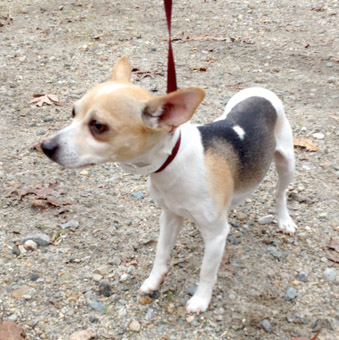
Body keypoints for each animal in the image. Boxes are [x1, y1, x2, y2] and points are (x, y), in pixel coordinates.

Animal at [41, 55, 298, 314]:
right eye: (73, 112)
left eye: (98, 126)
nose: (45, 146)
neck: (173, 160)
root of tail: (261, 91)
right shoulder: (170, 216)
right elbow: (161, 253)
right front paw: (154, 281)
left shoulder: (215, 235)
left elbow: (207, 272)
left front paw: (201, 300)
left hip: (287, 164)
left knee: (280, 193)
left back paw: (284, 220)